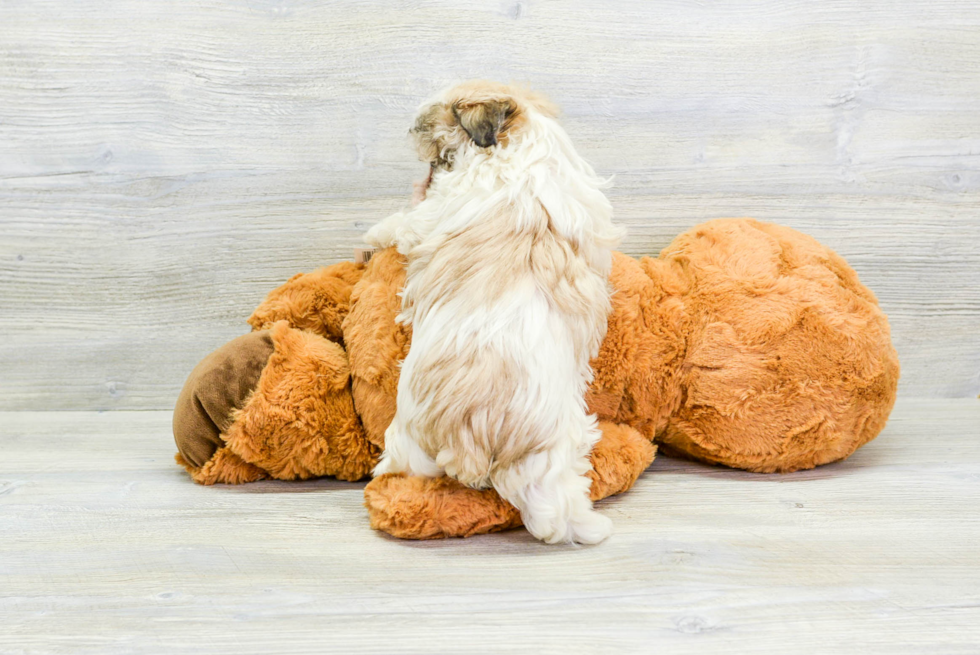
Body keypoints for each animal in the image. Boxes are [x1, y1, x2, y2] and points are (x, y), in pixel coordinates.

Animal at [364, 80, 624, 544]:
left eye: (439, 157)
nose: (424, 174)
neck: (516, 154)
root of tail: (475, 431)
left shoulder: (426, 217)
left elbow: (403, 223)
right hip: (556, 453)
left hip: (408, 440)